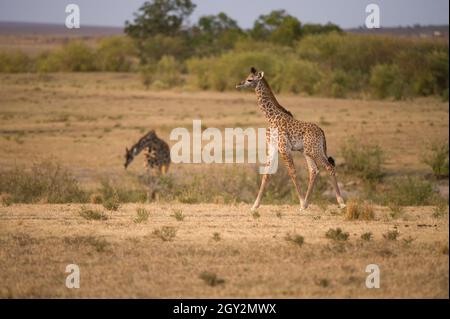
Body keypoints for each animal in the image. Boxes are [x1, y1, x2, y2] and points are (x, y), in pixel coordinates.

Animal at [236, 67, 344, 212]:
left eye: (250, 79)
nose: (239, 84)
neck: (271, 117)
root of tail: (322, 132)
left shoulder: (284, 148)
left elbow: (292, 172)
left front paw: (301, 201)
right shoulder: (273, 148)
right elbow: (266, 174)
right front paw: (255, 205)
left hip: (315, 150)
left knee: (329, 167)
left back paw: (341, 202)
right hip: (308, 151)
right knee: (314, 170)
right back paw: (306, 204)